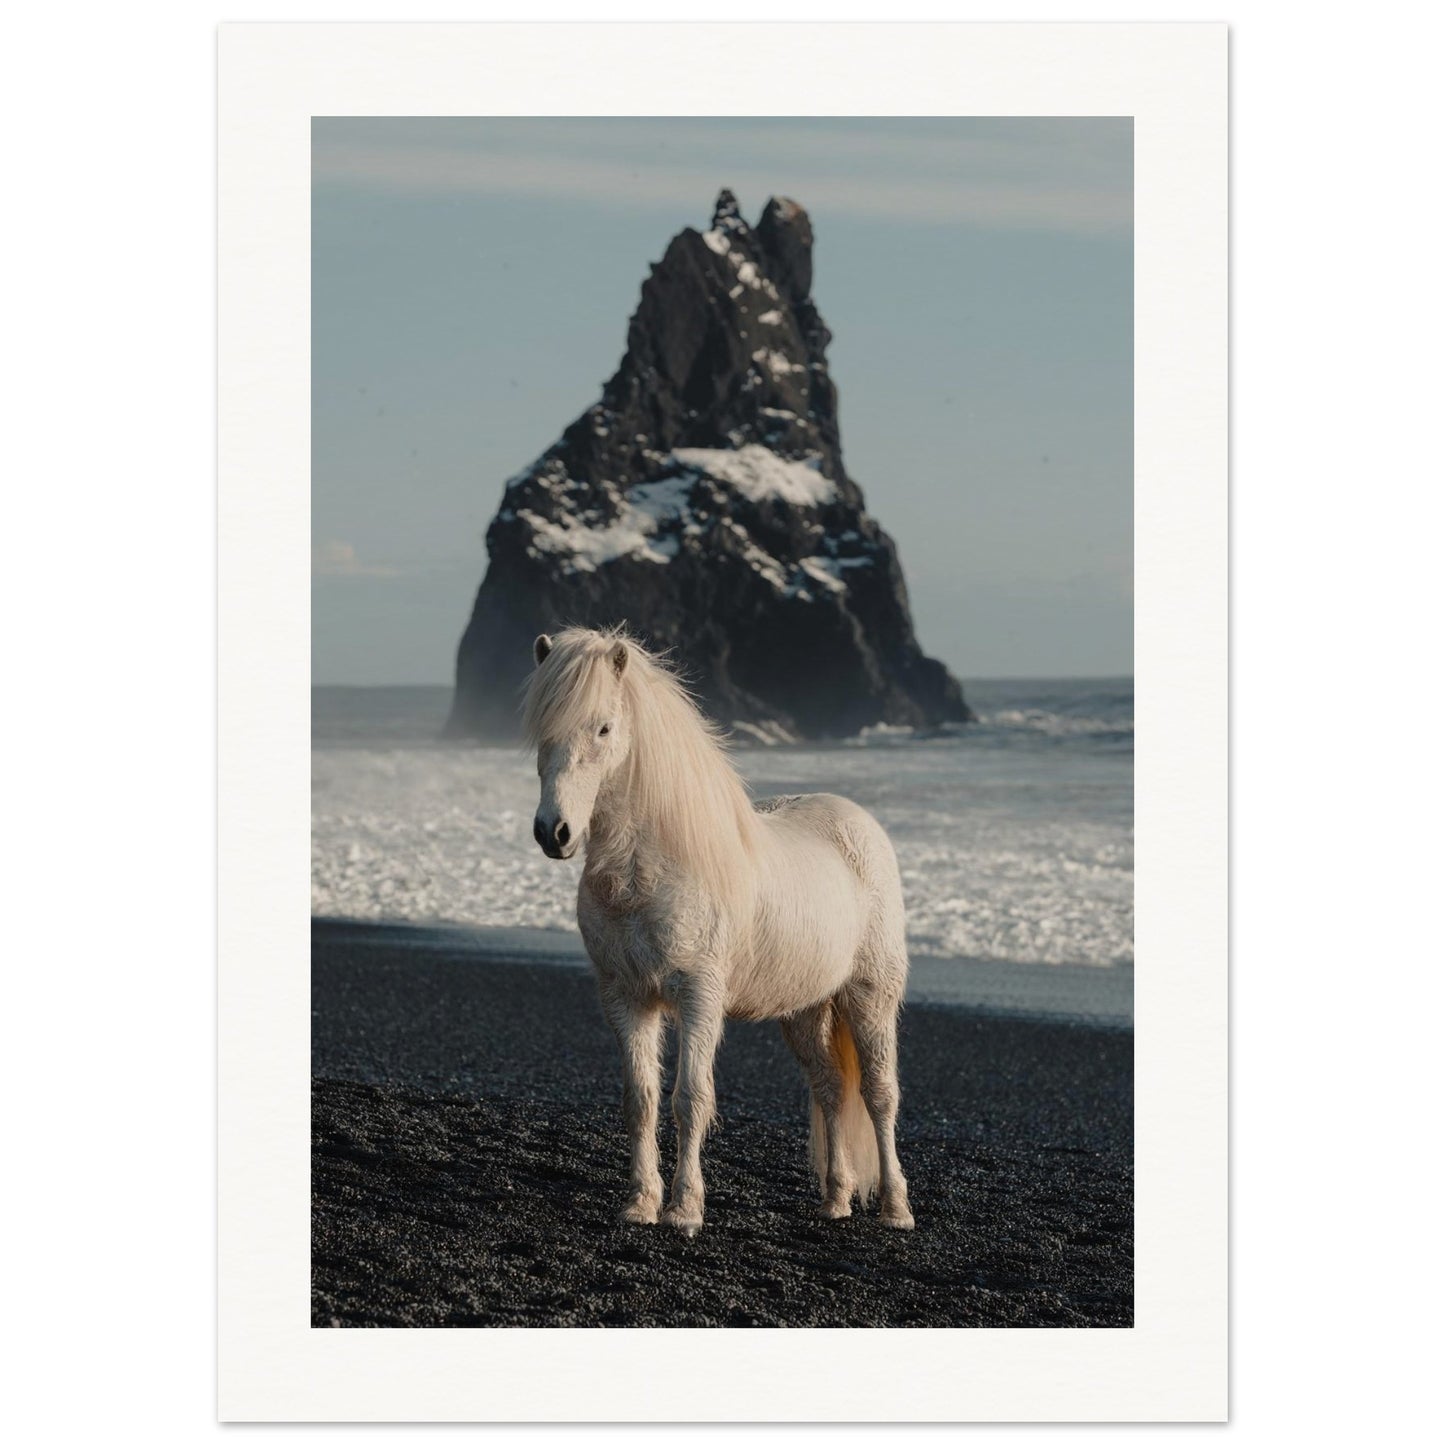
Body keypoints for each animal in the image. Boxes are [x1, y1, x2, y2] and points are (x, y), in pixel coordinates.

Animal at [523, 626, 914, 1236]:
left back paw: (896, 1210)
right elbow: (641, 1099)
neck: (652, 870)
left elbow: (690, 1098)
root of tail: (859, 822)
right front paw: (640, 1204)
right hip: (804, 1010)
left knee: (878, 1095)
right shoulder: (625, 998)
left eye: (604, 728)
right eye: (543, 728)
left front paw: (684, 1210)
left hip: (869, 995)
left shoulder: (698, 996)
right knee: (829, 1087)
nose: (554, 832)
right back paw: (835, 1199)